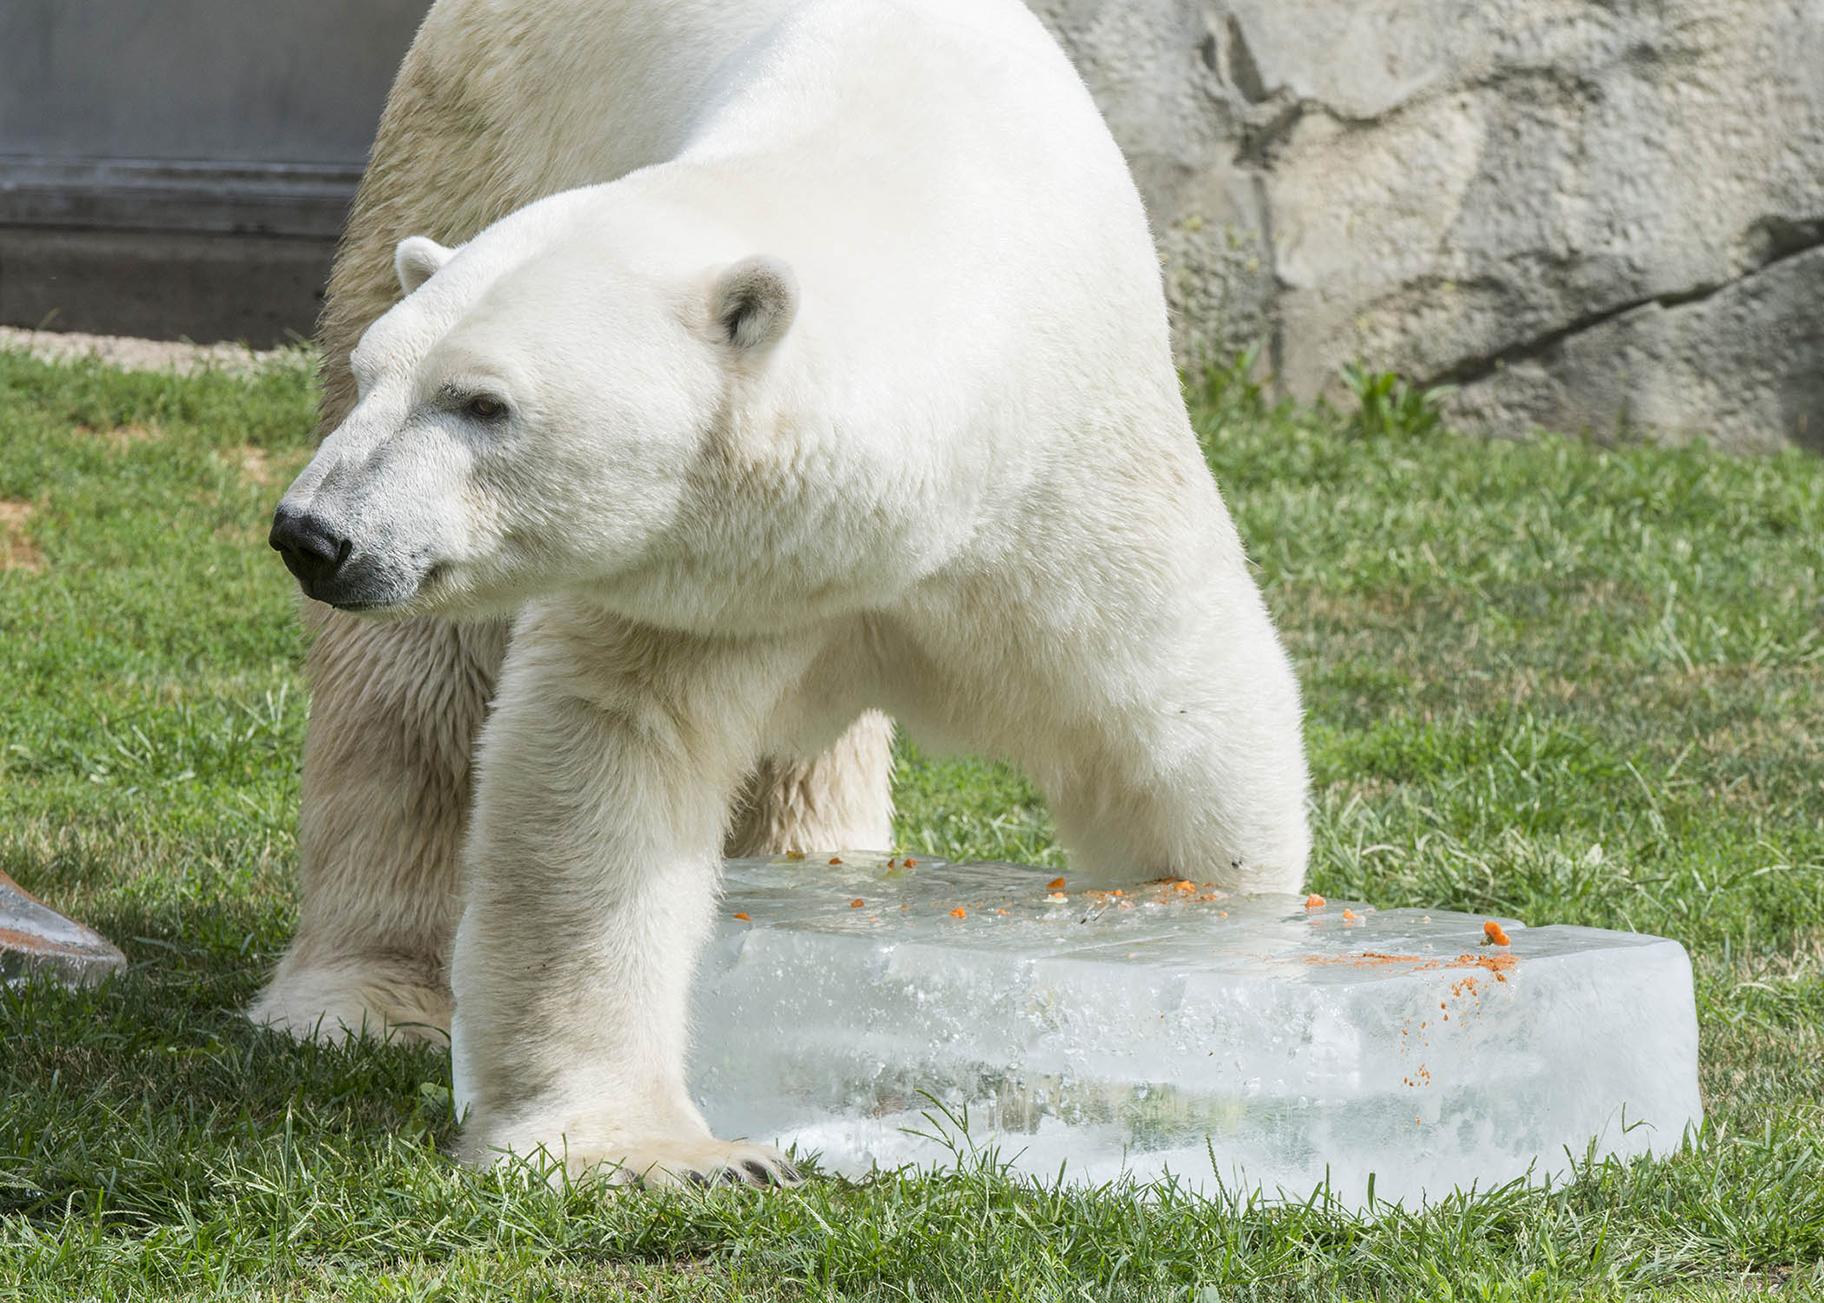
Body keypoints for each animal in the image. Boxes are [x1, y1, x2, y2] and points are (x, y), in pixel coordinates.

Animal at [260, 0, 1313, 1182]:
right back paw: (367, 994)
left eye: (483, 402)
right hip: (465, 143)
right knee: (416, 694)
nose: (314, 534)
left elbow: (1180, 745)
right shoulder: (688, 584)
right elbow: (605, 773)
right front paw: (656, 1149)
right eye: (378, 376)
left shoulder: (1059, 495)